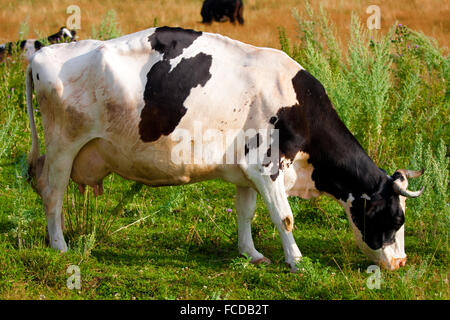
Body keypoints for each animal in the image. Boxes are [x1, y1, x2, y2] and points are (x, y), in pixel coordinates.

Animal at [27, 26, 422, 272]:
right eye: (396, 219)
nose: (401, 263)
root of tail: (44, 53)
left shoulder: (247, 172)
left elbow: (246, 214)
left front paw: (252, 254)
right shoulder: (267, 167)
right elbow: (285, 217)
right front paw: (296, 261)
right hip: (63, 146)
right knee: (53, 194)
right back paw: (60, 245)